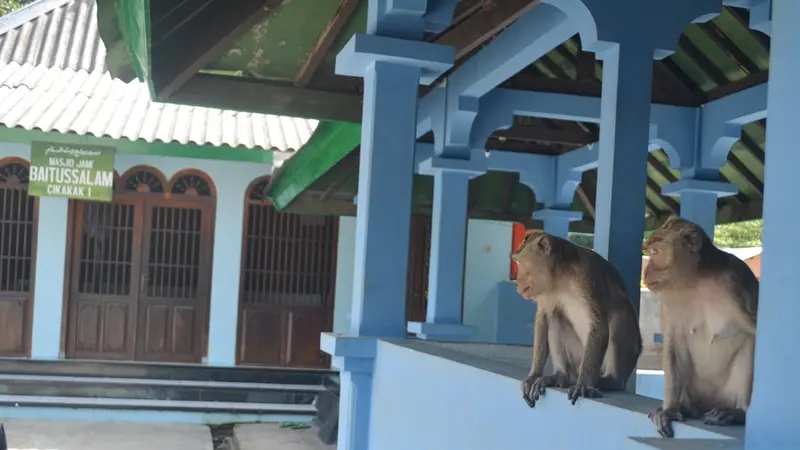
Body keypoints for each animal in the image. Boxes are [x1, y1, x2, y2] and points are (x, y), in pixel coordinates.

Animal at [512, 230, 644, 410]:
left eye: (519, 263)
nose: (517, 282)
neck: (561, 276)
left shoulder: (587, 275)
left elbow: (599, 325)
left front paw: (584, 386)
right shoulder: (546, 292)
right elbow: (544, 317)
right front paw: (533, 376)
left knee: (620, 314)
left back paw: (611, 380)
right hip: (577, 359)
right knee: (556, 315)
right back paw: (560, 376)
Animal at [640, 216, 760, 438]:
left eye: (656, 252)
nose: (646, 271)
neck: (695, 281)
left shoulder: (736, 280)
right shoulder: (668, 298)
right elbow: (674, 342)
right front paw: (669, 410)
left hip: (726, 394)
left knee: (750, 343)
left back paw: (738, 413)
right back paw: (684, 408)